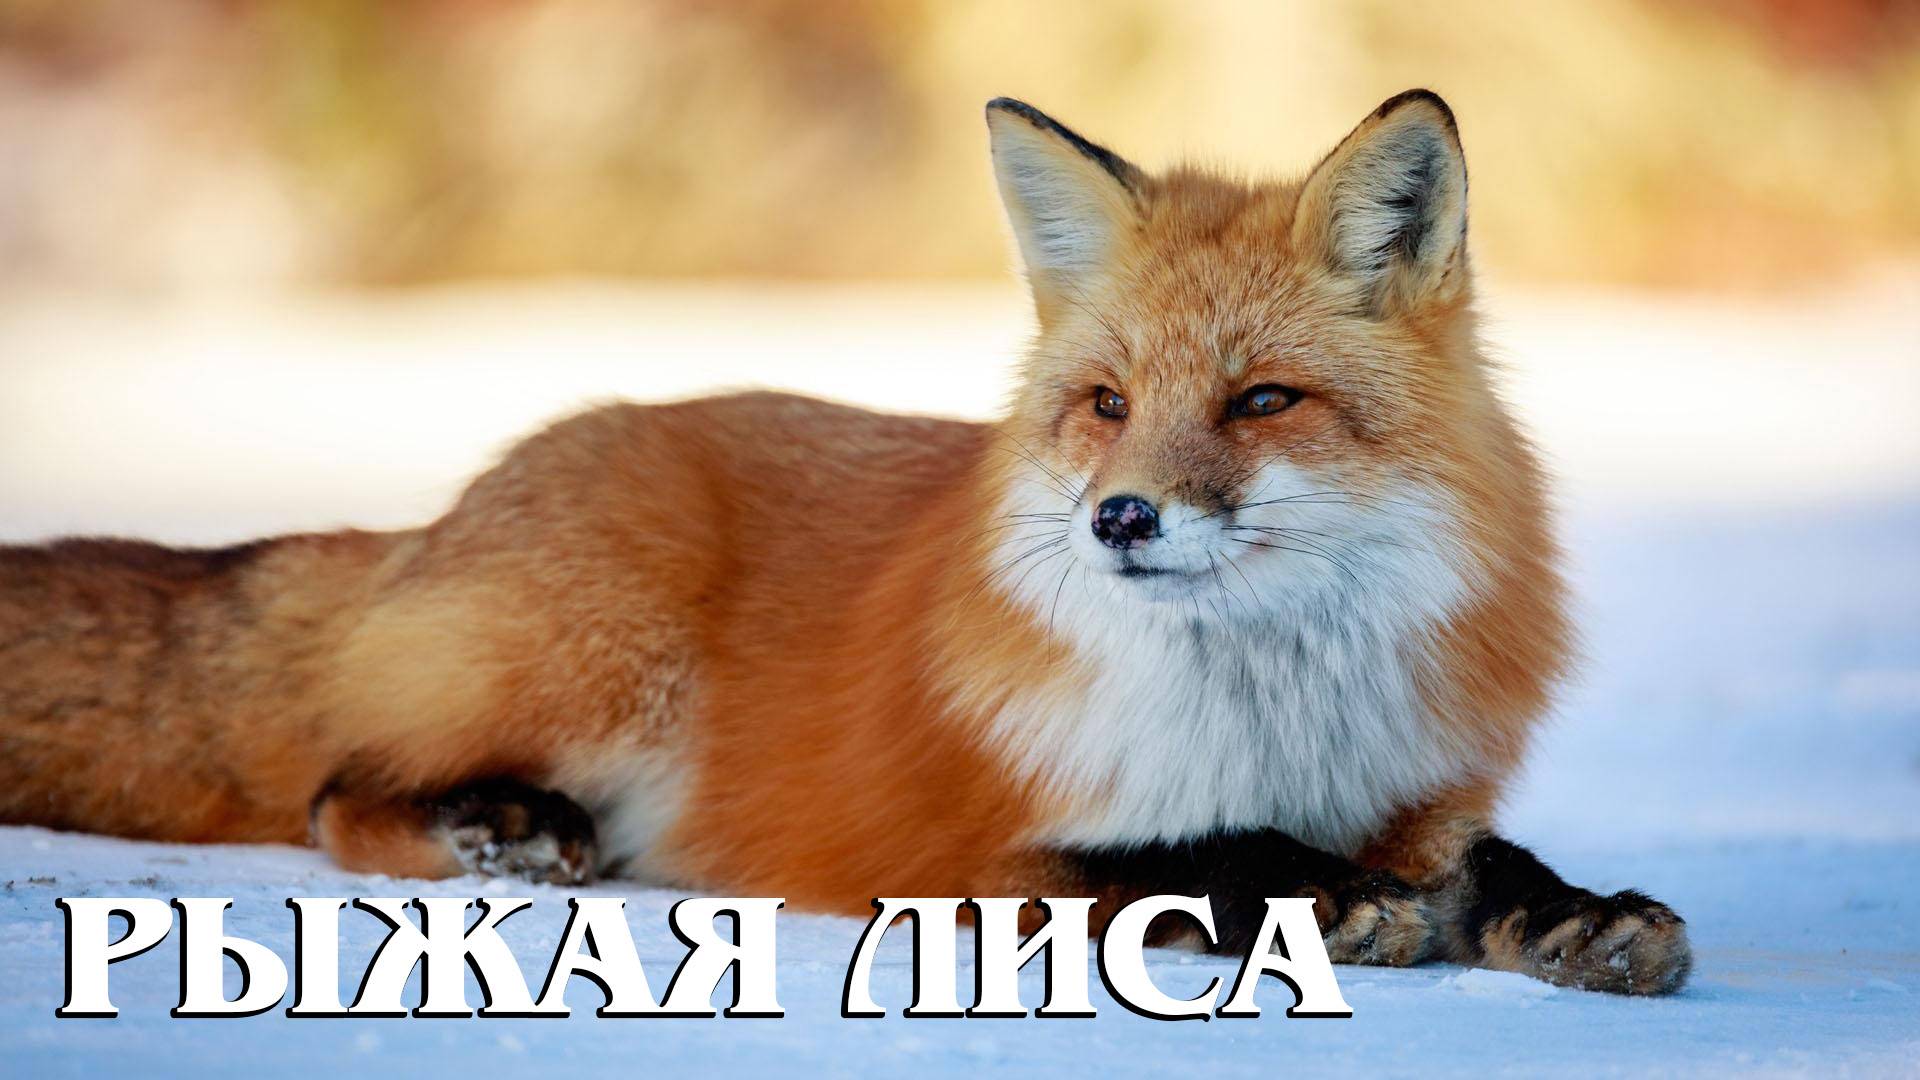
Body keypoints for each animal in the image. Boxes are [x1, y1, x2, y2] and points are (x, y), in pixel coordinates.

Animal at [0, 91, 1690, 995]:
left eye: (1262, 399)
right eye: (1108, 404)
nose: (1120, 517)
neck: (1273, 713)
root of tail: (457, 504)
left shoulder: (1417, 794)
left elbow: (1493, 866)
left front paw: (1585, 915)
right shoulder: (969, 844)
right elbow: (1179, 858)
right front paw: (1300, 894)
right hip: (596, 661)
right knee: (337, 791)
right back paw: (508, 830)